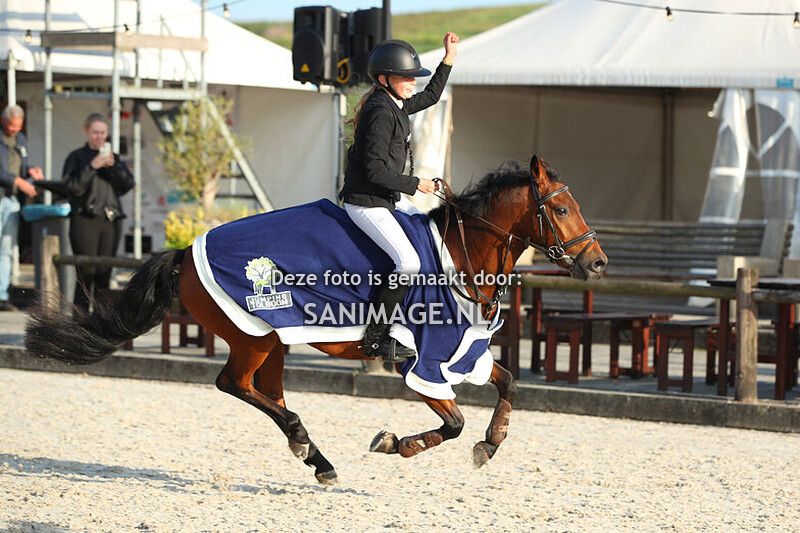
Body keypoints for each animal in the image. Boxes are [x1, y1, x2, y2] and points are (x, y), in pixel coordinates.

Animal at [25, 155, 607, 485]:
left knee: (266, 392)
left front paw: (491, 442)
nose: (598, 263)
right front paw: (399, 444)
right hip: (254, 335)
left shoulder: (463, 352)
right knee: (234, 384)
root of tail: (185, 250)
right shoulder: (424, 361)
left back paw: (314, 456)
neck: (461, 254)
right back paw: (306, 445)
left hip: (273, 342)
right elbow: (454, 422)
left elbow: (509, 386)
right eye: (559, 210)